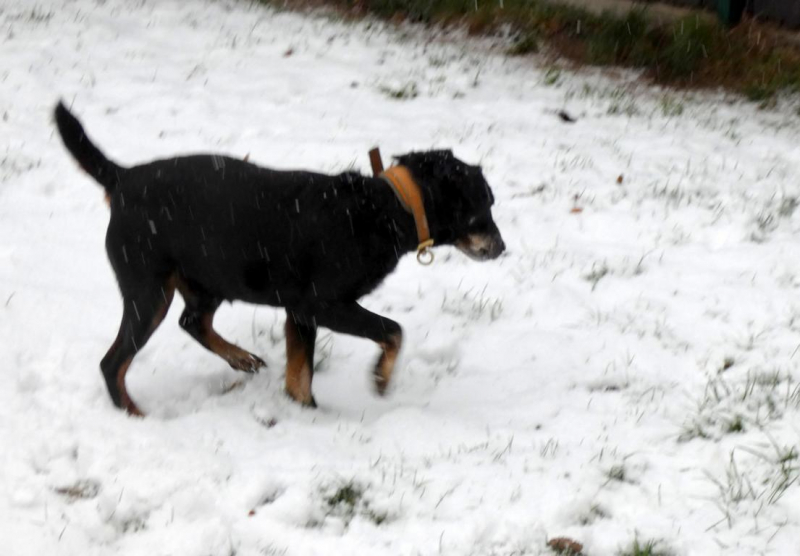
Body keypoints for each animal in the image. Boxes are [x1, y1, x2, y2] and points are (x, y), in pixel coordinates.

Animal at [54, 102, 505, 415]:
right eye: (483, 206)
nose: (502, 248)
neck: (387, 208)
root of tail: (122, 178)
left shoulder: (299, 313)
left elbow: (299, 375)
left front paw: (304, 412)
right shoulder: (322, 304)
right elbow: (393, 330)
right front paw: (379, 378)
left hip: (210, 275)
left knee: (191, 322)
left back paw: (240, 357)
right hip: (149, 290)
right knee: (112, 363)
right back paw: (133, 414)